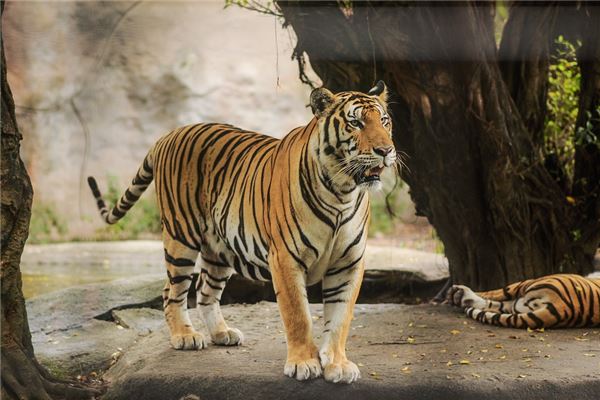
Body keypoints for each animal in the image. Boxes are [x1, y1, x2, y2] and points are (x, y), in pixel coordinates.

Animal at [88, 81, 398, 384]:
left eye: (384, 121)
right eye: (355, 123)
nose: (385, 151)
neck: (342, 191)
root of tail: (168, 134)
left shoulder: (349, 262)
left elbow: (340, 317)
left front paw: (337, 364)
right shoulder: (285, 258)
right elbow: (298, 314)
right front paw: (303, 363)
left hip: (219, 249)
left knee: (205, 290)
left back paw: (221, 333)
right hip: (181, 236)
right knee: (172, 290)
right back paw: (185, 336)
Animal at [446, 276, 600, 328]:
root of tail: (561, 308)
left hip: (527, 283)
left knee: (495, 294)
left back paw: (458, 294)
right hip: (519, 304)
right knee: (496, 304)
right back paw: (462, 297)